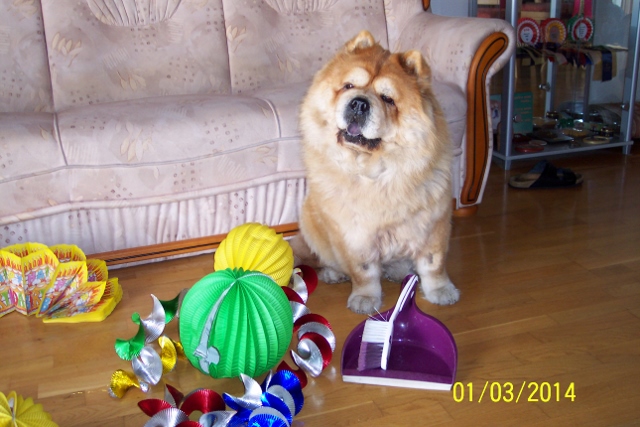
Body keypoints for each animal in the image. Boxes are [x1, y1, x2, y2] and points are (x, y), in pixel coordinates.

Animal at [290, 30, 460, 314]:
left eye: (388, 99)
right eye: (348, 86)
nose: (358, 104)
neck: (376, 172)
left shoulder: (432, 223)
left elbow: (433, 262)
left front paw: (441, 291)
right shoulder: (354, 233)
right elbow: (364, 270)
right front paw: (365, 299)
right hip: (310, 218)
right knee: (327, 257)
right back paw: (335, 273)